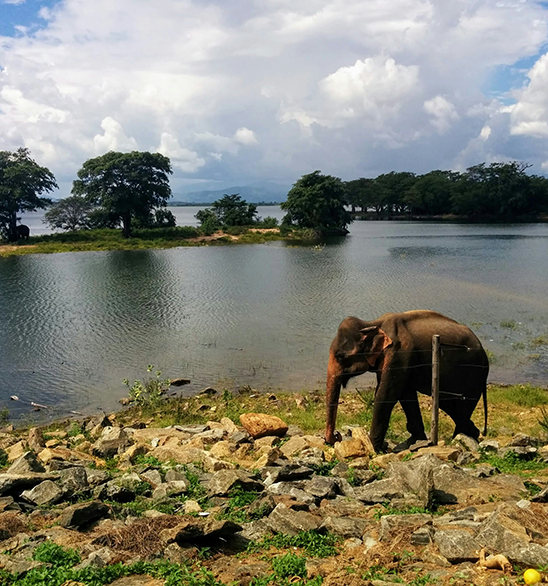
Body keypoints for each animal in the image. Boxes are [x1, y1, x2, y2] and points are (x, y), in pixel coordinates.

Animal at [326, 310, 488, 452]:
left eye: (340, 356)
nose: (337, 436)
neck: (372, 324)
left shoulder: (399, 353)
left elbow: (386, 395)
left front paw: (373, 447)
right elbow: (405, 394)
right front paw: (413, 442)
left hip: (475, 374)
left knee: (462, 408)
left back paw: (461, 438)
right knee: (450, 405)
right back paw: (473, 434)